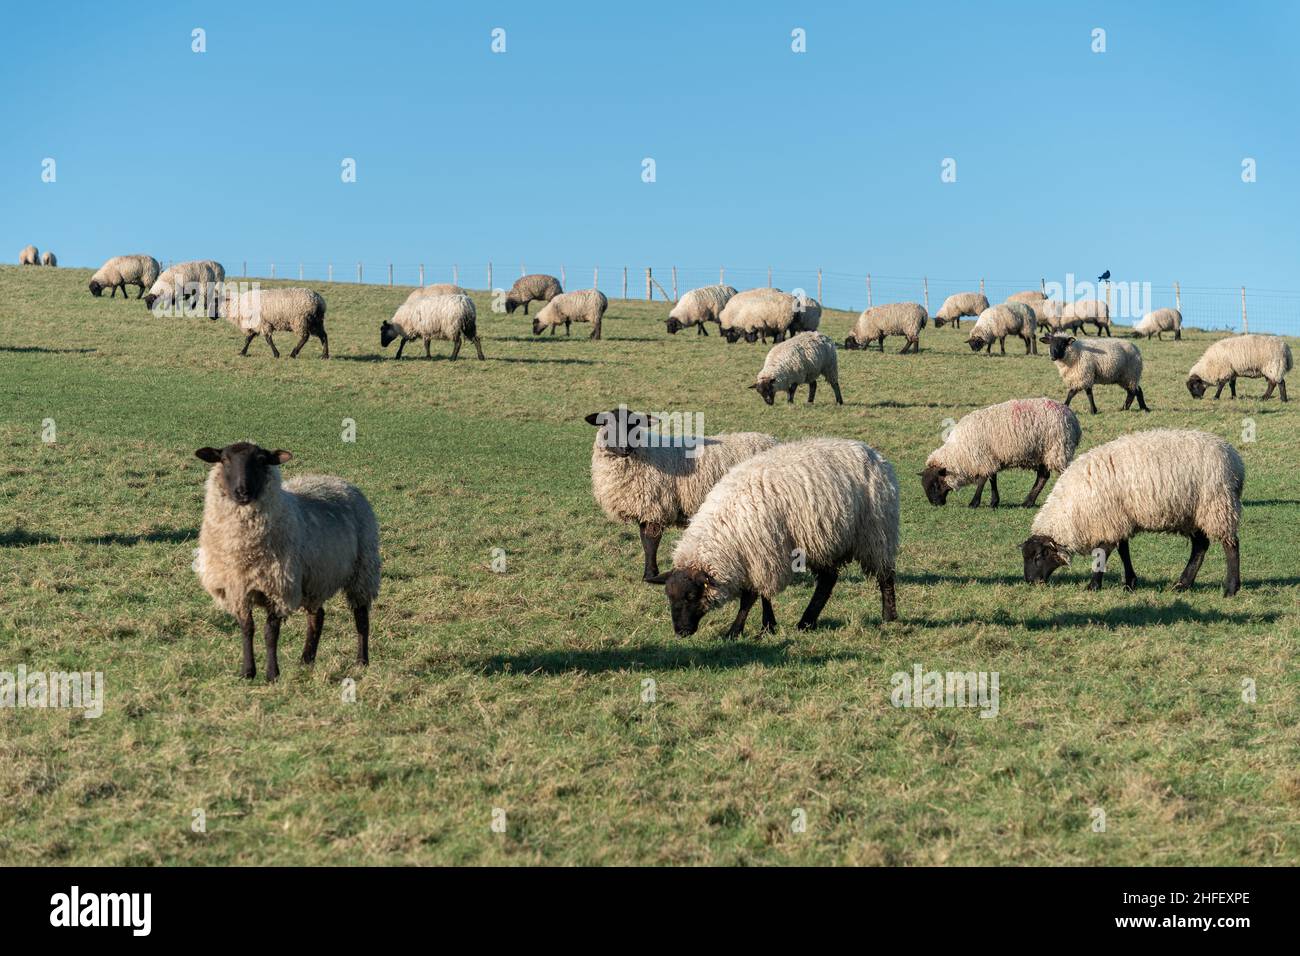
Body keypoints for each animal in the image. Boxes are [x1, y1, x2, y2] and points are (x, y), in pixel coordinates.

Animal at [191, 444, 379, 686]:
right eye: (224, 460)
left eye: (261, 460)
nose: (242, 492)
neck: (244, 550)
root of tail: (337, 480)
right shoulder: (238, 590)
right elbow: (247, 629)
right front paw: (247, 672)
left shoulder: (278, 588)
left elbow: (270, 634)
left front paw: (272, 674)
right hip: (314, 579)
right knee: (317, 616)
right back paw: (306, 660)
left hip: (363, 569)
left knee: (361, 616)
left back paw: (361, 661)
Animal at [585, 405, 774, 580]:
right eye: (607, 424)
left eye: (634, 425)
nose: (626, 447)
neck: (646, 453)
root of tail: (772, 440)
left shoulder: (655, 506)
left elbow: (650, 543)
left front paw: (650, 574)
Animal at [644, 439, 899, 634]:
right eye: (669, 597)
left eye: (690, 596)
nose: (681, 632)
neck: (725, 529)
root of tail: (871, 452)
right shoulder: (756, 558)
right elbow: (762, 596)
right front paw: (768, 625)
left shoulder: (764, 555)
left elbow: (750, 597)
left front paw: (736, 630)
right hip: (823, 541)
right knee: (827, 581)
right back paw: (806, 622)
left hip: (877, 532)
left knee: (885, 575)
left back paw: (889, 616)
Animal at [920, 400, 1081, 512]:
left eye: (935, 484)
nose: (935, 503)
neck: (959, 452)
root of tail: (1072, 417)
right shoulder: (991, 457)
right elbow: (993, 479)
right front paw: (994, 501)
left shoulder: (983, 458)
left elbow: (983, 480)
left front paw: (974, 503)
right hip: (1043, 453)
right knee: (1043, 477)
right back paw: (1027, 502)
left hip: (1058, 449)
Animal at [1019, 431, 1242, 598]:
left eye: (1038, 556)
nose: (1030, 581)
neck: (1073, 510)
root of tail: (1235, 460)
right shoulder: (1119, 519)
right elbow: (1123, 550)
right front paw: (1130, 583)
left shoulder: (1110, 518)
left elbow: (1103, 552)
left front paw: (1093, 585)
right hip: (1193, 514)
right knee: (1200, 546)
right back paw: (1182, 584)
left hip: (1217, 505)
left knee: (1230, 546)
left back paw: (1230, 588)